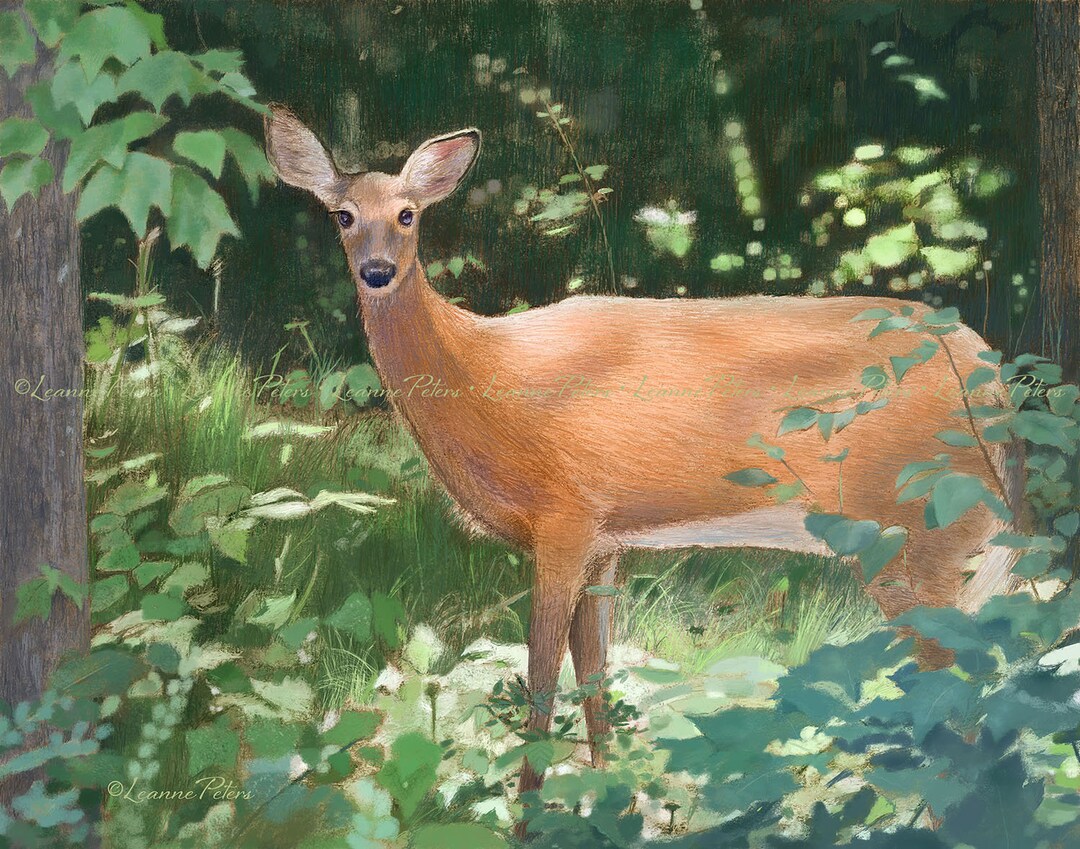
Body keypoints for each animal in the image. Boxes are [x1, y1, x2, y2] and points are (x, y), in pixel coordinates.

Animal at [264, 106, 1021, 805]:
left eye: (408, 213)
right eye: (342, 215)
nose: (377, 270)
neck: (486, 376)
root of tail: (989, 378)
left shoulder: (564, 516)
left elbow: (542, 686)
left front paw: (529, 813)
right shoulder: (605, 540)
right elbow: (595, 682)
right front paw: (610, 801)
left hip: (912, 527)